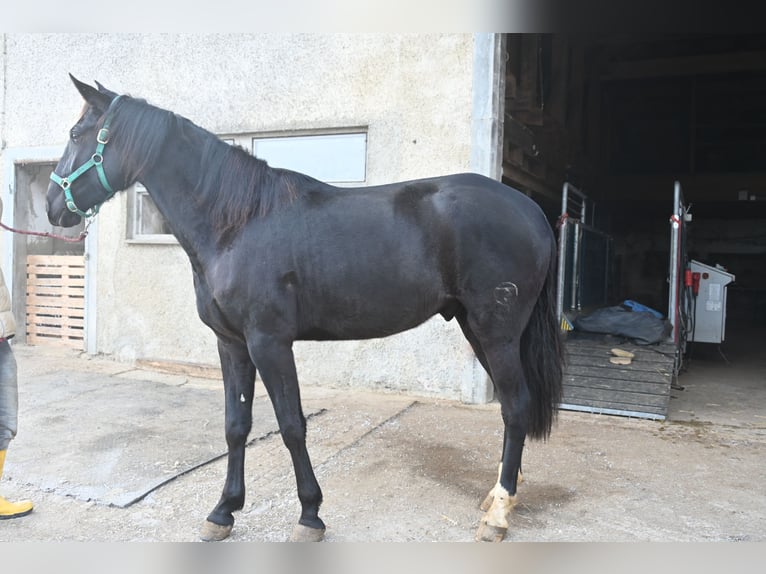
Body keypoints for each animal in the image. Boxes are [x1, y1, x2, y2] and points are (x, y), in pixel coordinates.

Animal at [46, 75, 564, 542]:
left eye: (75, 134)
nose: (52, 206)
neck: (237, 223)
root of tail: (531, 210)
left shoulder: (270, 343)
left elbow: (292, 426)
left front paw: (310, 515)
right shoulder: (231, 344)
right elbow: (236, 426)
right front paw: (223, 511)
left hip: (496, 332)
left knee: (516, 406)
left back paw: (498, 514)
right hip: (476, 328)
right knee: (512, 409)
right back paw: (497, 497)